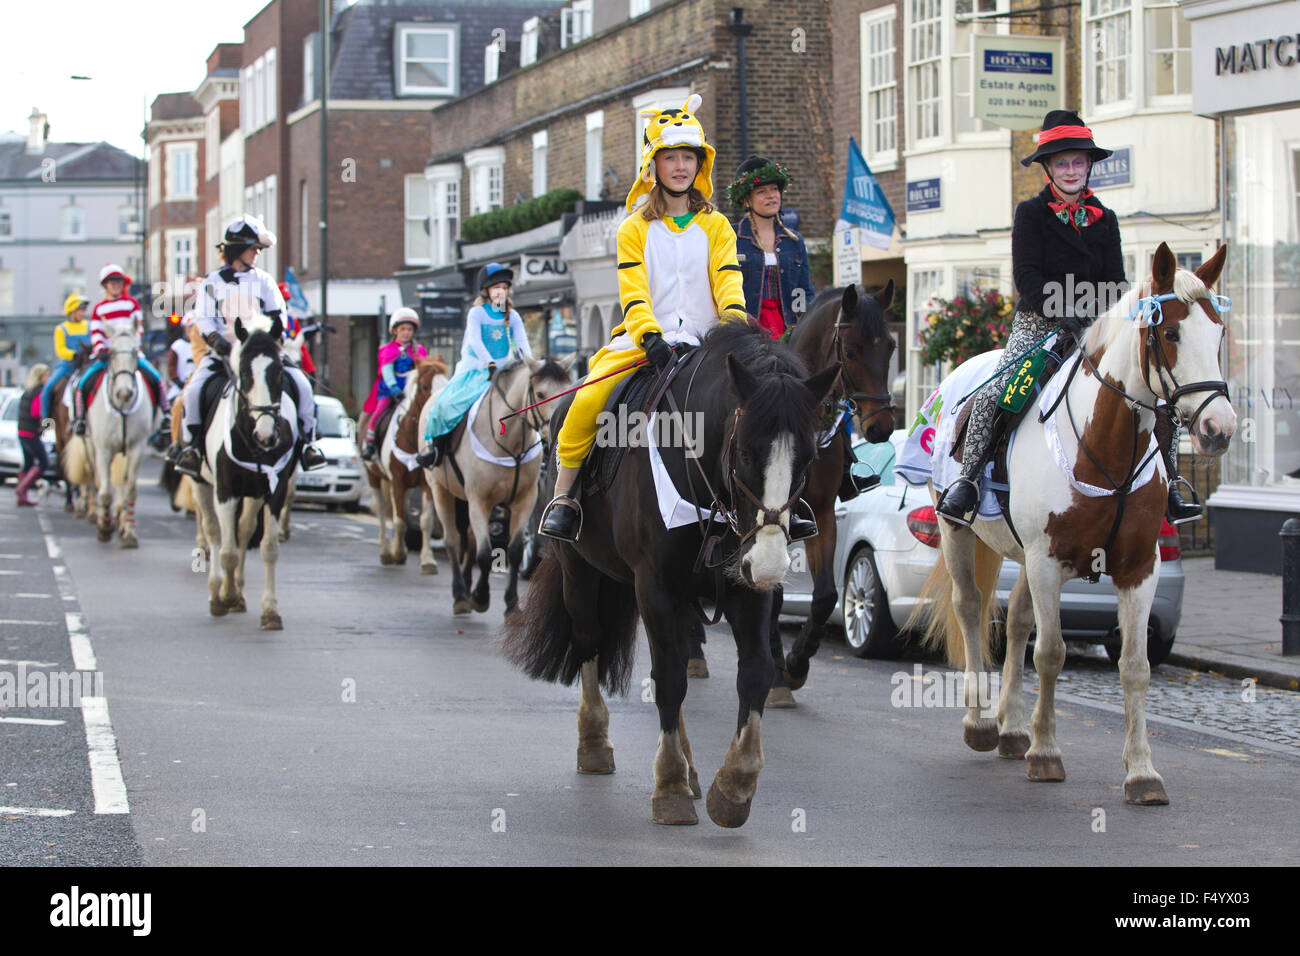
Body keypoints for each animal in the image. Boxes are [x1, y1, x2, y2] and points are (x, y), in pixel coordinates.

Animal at [189, 310, 302, 632]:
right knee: (214, 532)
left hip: (253, 493)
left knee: (243, 530)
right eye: (245, 372)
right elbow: (226, 550)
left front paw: (270, 611)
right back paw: (218, 593)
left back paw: (238, 592)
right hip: (201, 485)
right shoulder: (225, 490)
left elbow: (268, 548)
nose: (266, 435)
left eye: (278, 371)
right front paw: (224, 597)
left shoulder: (275, 490)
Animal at [361, 356, 452, 572]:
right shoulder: (397, 480)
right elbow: (399, 520)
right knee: (383, 510)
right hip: (373, 476)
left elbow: (425, 521)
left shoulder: (425, 484)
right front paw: (397, 553)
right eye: (425, 386)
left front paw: (427, 561)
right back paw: (386, 551)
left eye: (446, 383)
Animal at [423, 356, 572, 616]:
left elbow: (514, 551)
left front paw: (511, 602)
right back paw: (460, 595)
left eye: (567, 389)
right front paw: (481, 597)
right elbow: (484, 554)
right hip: (441, 491)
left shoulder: (524, 500)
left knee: (468, 541)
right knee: (452, 539)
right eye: (540, 393)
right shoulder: (479, 500)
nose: (557, 435)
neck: (509, 443)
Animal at [501, 323, 837, 832]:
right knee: (590, 640)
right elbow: (670, 680)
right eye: (744, 452)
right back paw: (596, 743)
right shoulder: (654, 585)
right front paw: (672, 787)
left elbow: (754, 673)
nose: (771, 564)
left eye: (810, 458)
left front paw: (733, 787)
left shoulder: (744, 587)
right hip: (581, 570)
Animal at [920, 243, 1232, 806]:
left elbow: (1135, 666)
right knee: (970, 607)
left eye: (1219, 334)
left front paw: (1142, 772)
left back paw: (1012, 727)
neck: (1104, 443)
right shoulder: (1048, 562)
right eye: (1171, 334)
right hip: (958, 530)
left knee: (1017, 620)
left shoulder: (1138, 567)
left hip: (1021, 551)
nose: (1220, 429)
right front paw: (1046, 753)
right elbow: (1051, 653)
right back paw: (982, 722)